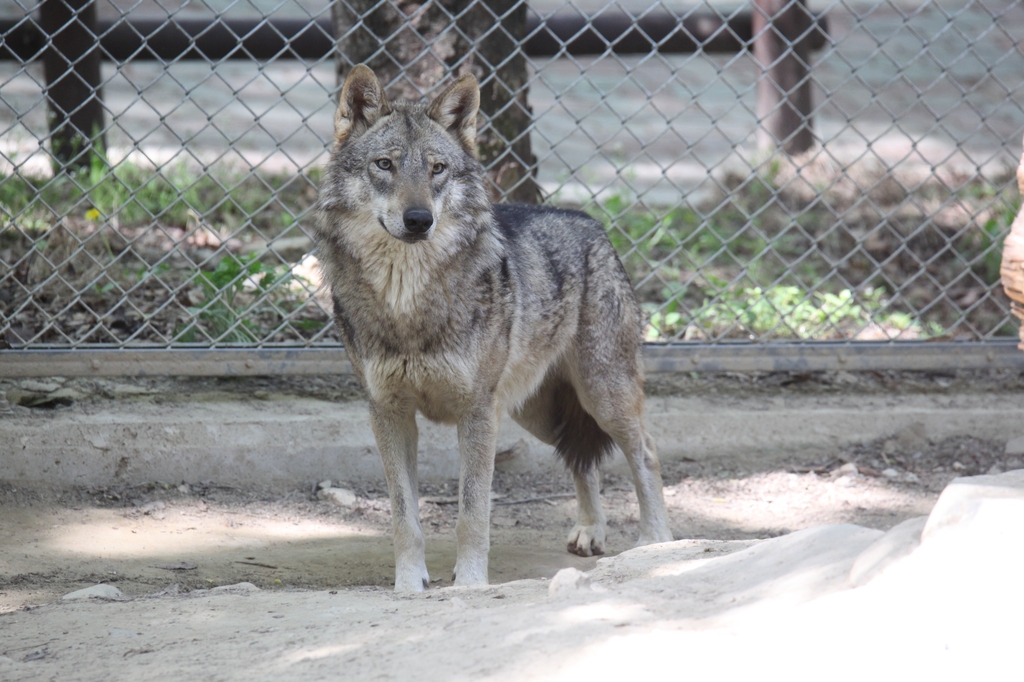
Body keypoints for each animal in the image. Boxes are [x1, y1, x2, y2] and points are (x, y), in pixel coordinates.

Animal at [315, 65, 675, 589]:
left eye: (437, 168)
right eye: (384, 165)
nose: (418, 219)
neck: (408, 303)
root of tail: (590, 223)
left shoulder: (478, 413)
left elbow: (472, 514)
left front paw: (468, 584)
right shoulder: (388, 413)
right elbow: (405, 516)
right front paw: (409, 584)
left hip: (601, 397)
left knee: (645, 452)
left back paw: (656, 542)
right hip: (538, 415)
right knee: (581, 461)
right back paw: (591, 530)